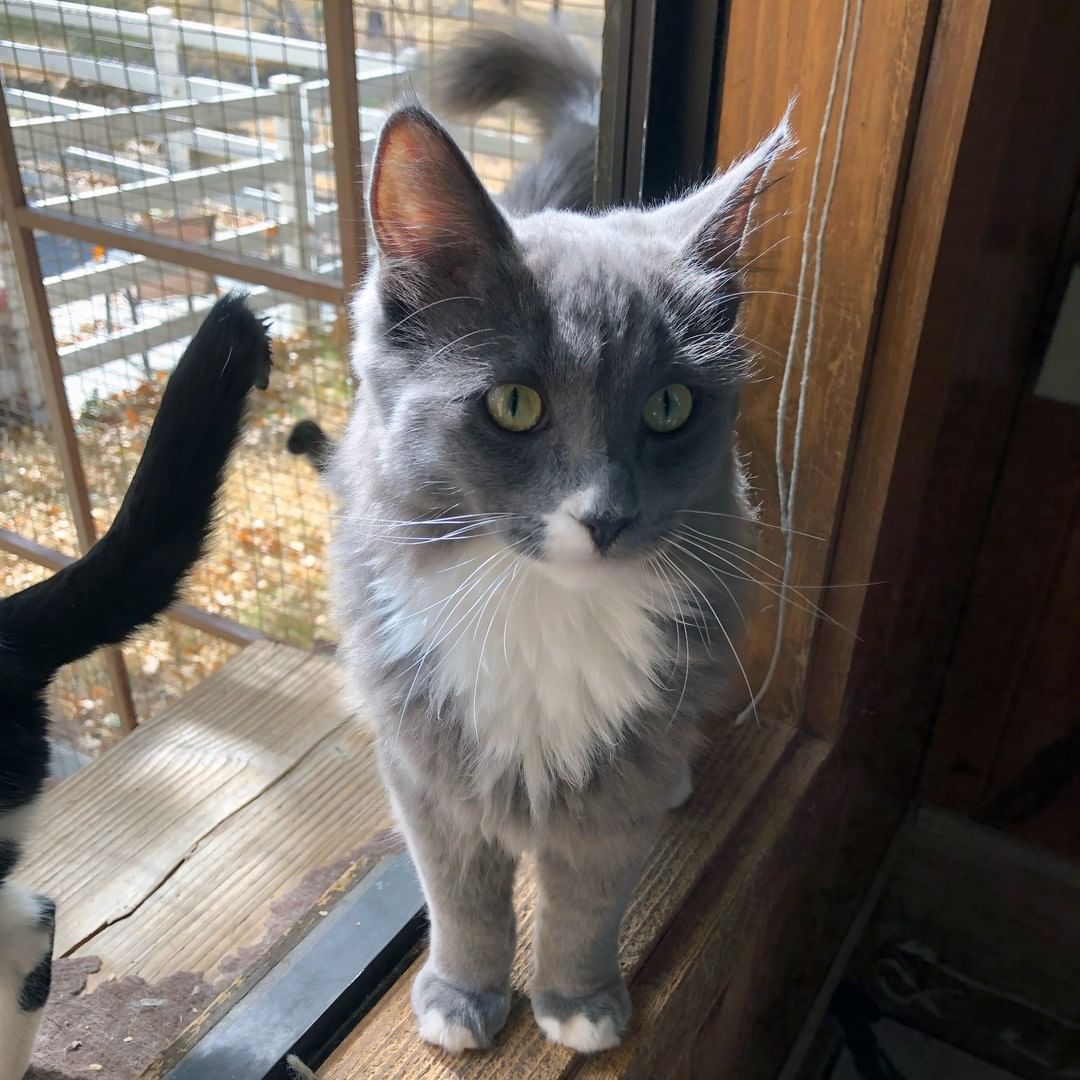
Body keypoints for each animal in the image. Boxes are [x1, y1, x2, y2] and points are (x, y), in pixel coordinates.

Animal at [328, 23, 786, 1054]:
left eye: (668, 407)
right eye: (514, 404)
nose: (604, 515)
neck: (541, 609)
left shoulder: (617, 793)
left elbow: (585, 908)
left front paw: (579, 1005)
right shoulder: (427, 774)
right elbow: (464, 906)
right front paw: (462, 999)